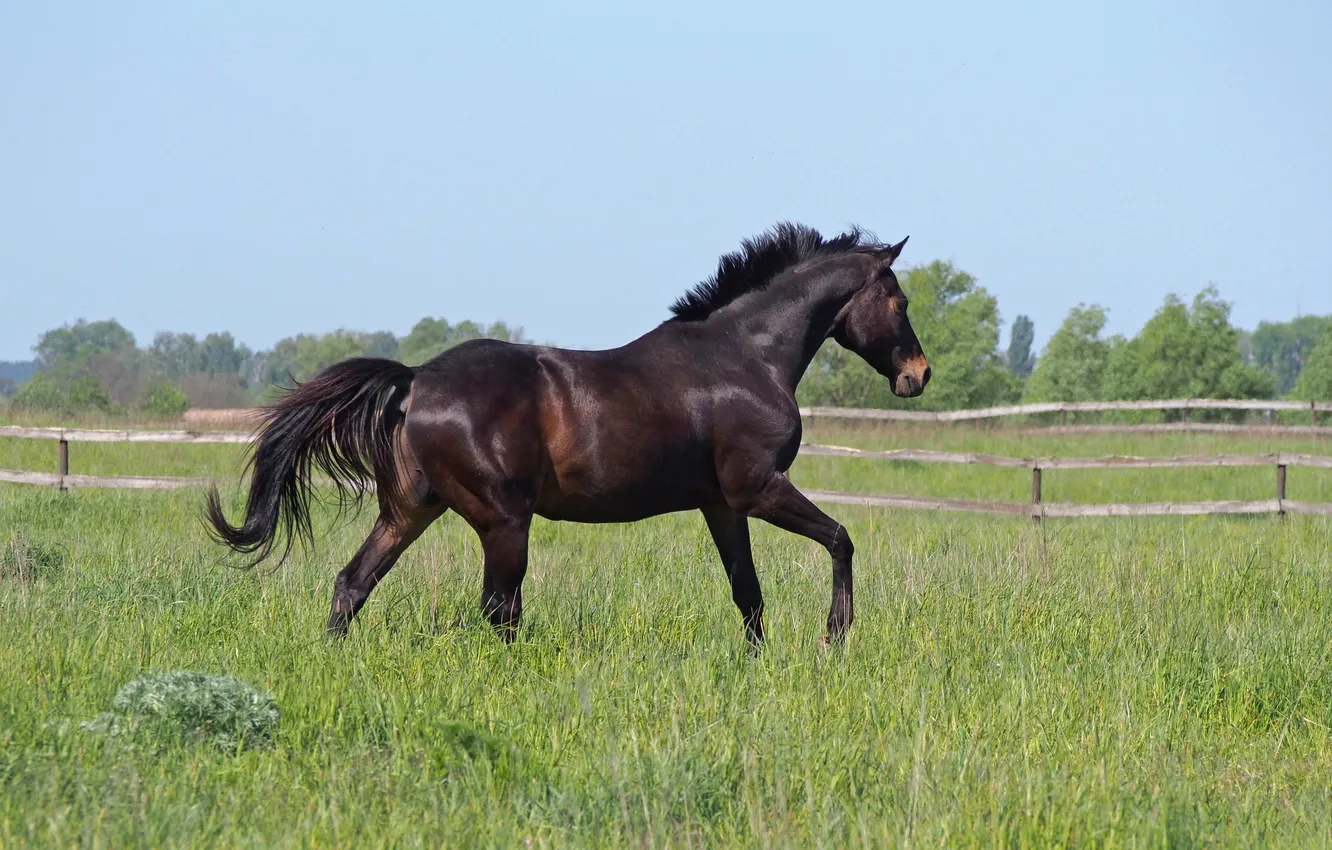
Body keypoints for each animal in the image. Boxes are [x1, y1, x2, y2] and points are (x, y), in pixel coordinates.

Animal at [205, 222, 931, 648]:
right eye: (899, 300)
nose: (917, 374)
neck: (744, 356)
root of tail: (416, 383)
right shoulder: (756, 488)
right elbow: (840, 538)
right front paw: (836, 637)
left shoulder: (722, 505)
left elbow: (747, 594)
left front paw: (762, 664)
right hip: (502, 520)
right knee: (498, 607)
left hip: (411, 509)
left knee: (354, 583)